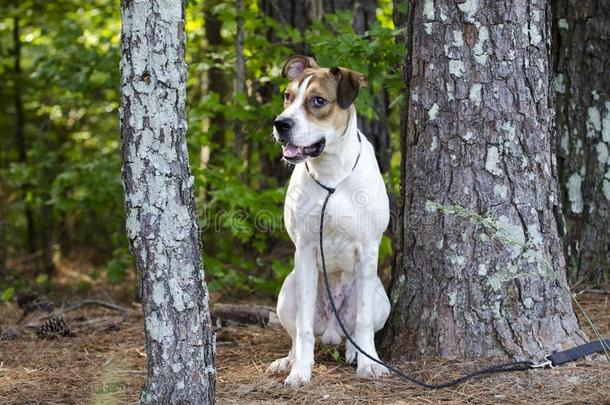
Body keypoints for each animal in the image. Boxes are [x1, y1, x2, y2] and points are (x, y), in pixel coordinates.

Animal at [268, 55, 392, 384]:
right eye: (287, 96)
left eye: (318, 101)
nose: (281, 123)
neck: (332, 172)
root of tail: (333, 331)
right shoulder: (306, 249)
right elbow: (303, 328)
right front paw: (300, 371)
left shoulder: (368, 249)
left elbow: (363, 322)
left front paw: (369, 364)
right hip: (288, 291)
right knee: (297, 332)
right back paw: (289, 359)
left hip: (381, 299)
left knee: (357, 329)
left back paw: (353, 352)